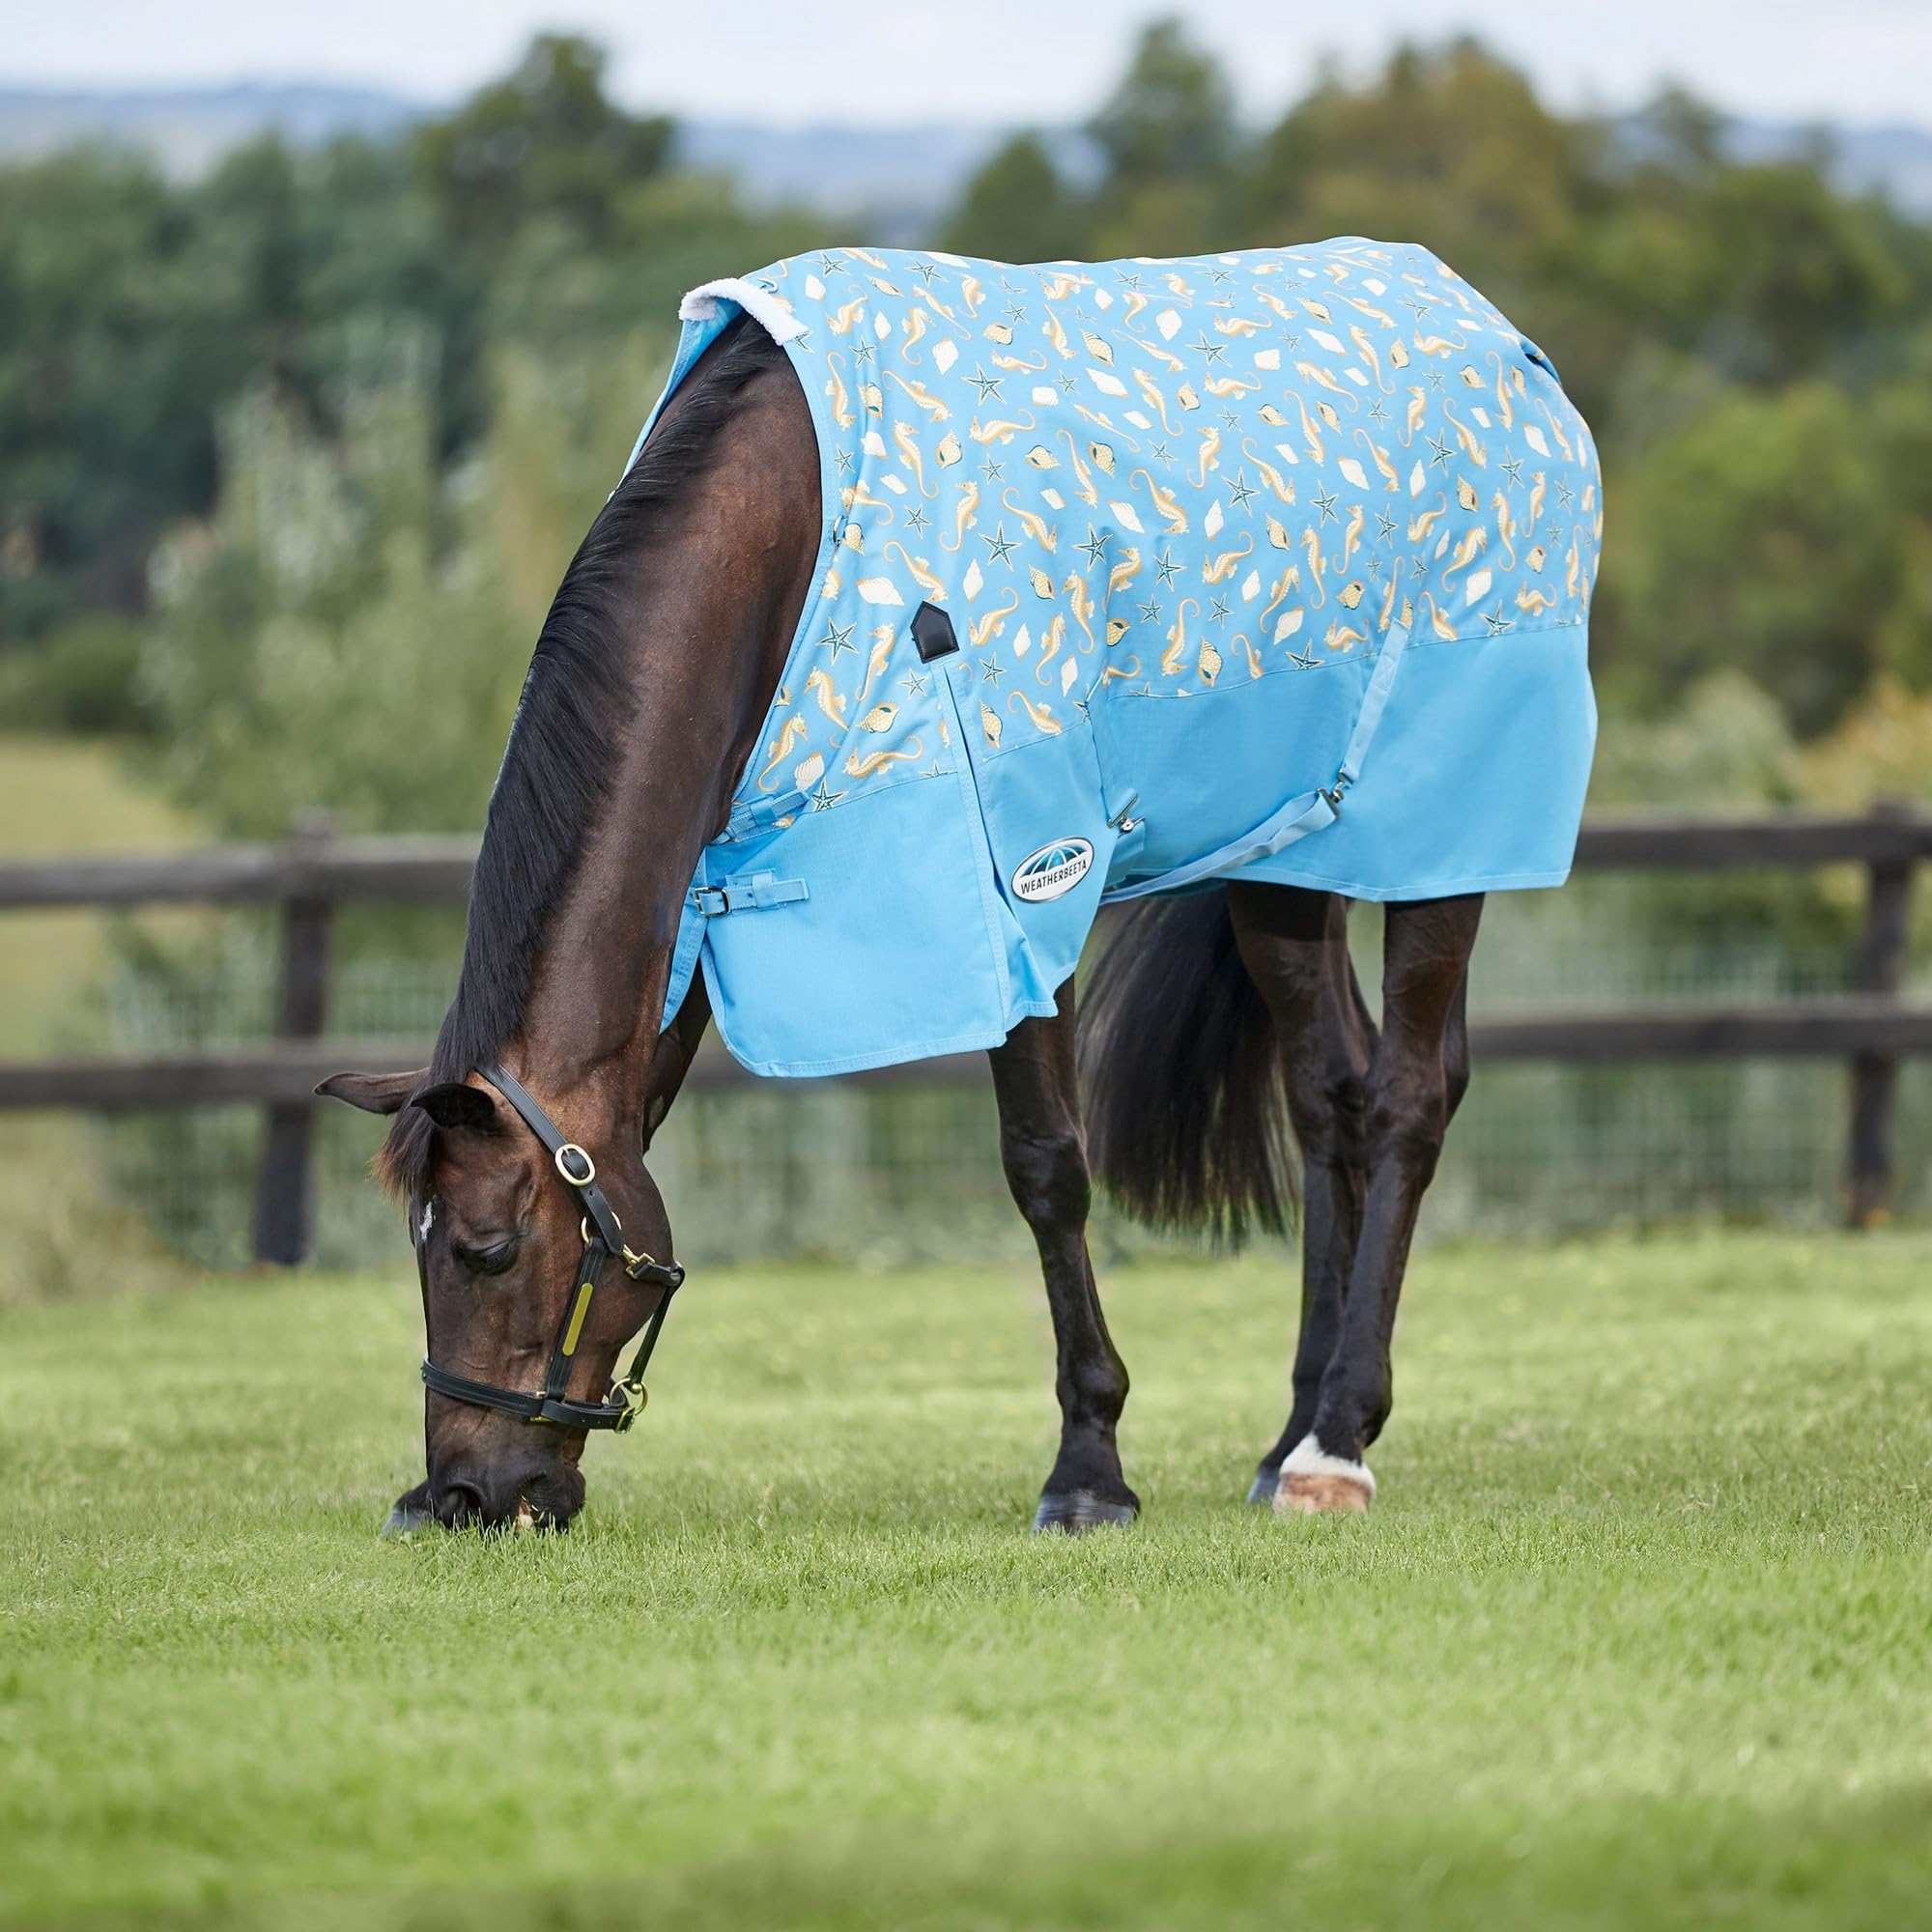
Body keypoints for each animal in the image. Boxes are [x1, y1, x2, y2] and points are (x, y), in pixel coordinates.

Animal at [320, 241, 1598, 1534]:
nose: (467, 1490)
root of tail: (1491, 327)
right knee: (1328, 1093)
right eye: (415, 1246)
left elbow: (1045, 1164)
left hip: (1442, 832)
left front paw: (1086, 1469)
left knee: (1405, 1096)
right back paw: (1290, 1436)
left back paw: (1335, 1442)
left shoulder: (1021, 878)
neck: (805, 527)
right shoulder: (710, 883)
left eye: (484, 1247)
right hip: (1284, 863)